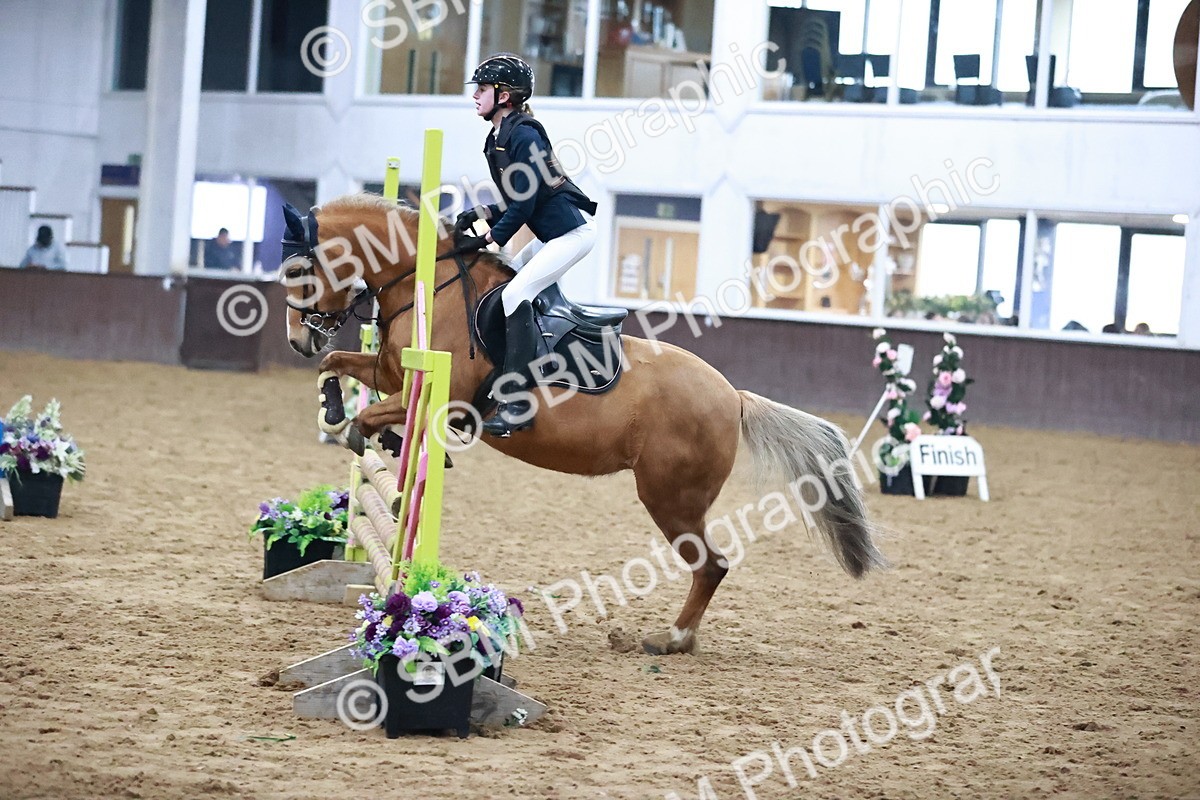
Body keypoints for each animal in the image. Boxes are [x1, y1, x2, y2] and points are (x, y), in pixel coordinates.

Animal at [279, 194, 886, 655]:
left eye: (298, 271)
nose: (297, 339)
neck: (430, 282)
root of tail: (731, 396)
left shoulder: (437, 395)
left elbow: (371, 412)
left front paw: (366, 431)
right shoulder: (390, 373)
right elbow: (339, 368)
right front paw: (335, 407)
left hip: (670, 497)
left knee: (711, 566)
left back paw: (671, 639)